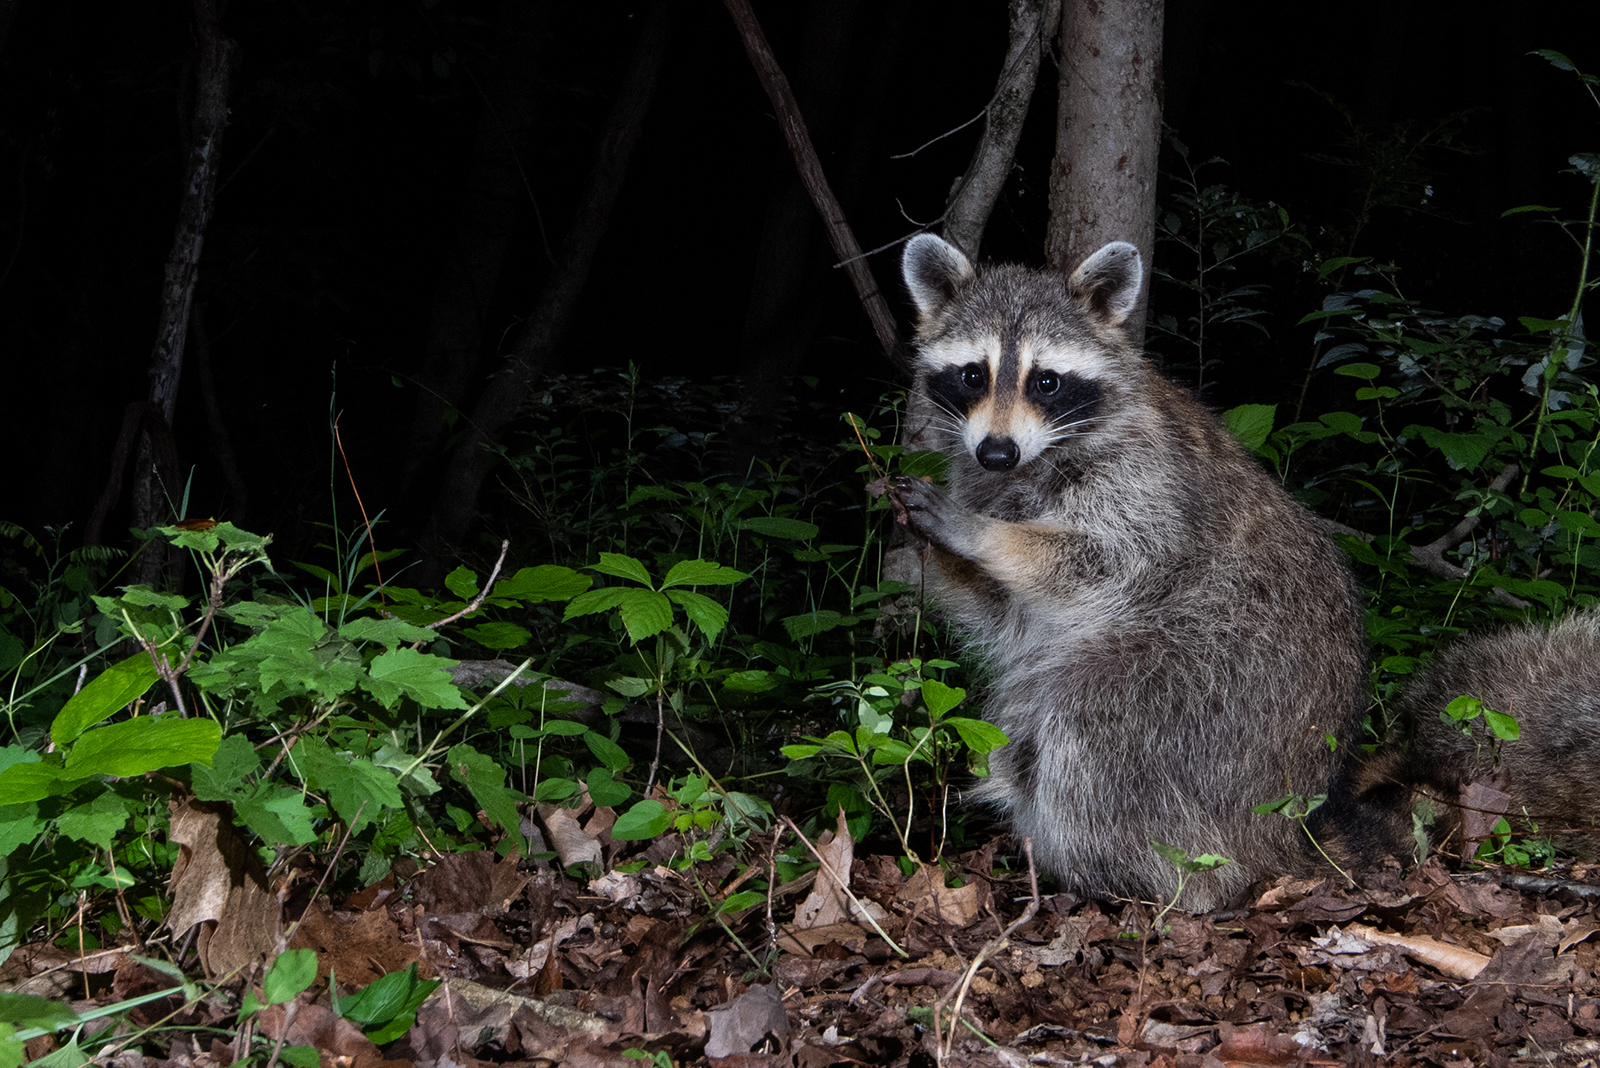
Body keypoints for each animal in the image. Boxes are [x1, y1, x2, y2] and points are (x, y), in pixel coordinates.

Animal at [889, 235, 1376, 908]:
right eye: (972, 374)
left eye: (1046, 381)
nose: (996, 452)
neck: (1030, 464)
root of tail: (1292, 818)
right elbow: (1002, 610)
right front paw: (935, 554)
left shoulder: (1147, 479)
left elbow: (1114, 561)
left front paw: (984, 536)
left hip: (1216, 679)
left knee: (1089, 734)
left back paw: (1122, 879)